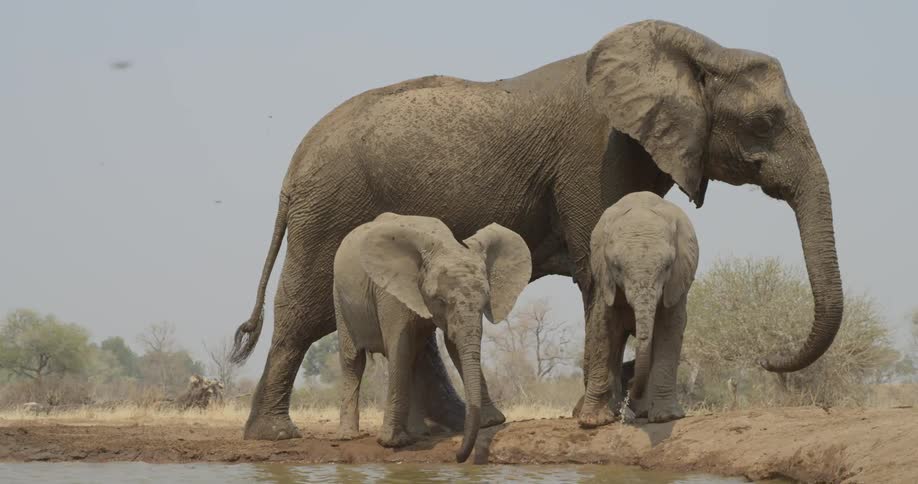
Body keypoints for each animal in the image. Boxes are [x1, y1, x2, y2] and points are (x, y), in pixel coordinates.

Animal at [333, 213, 531, 462]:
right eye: (440, 301)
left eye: (486, 300)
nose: (459, 457)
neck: (445, 243)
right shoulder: (390, 292)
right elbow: (399, 347)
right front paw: (393, 443)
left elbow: (451, 344)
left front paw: (492, 422)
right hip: (340, 298)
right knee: (353, 360)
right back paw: (348, 437)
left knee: (416, 357)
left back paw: (420, 433)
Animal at [581, 191, 699, 426]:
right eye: (616, 266)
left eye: (667, 266)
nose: (632, 386)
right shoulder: (604, 280)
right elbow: (603, 329)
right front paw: (591, 422)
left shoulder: (676, 284)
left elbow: (669, 329)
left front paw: (667, 417)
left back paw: (643, 412)